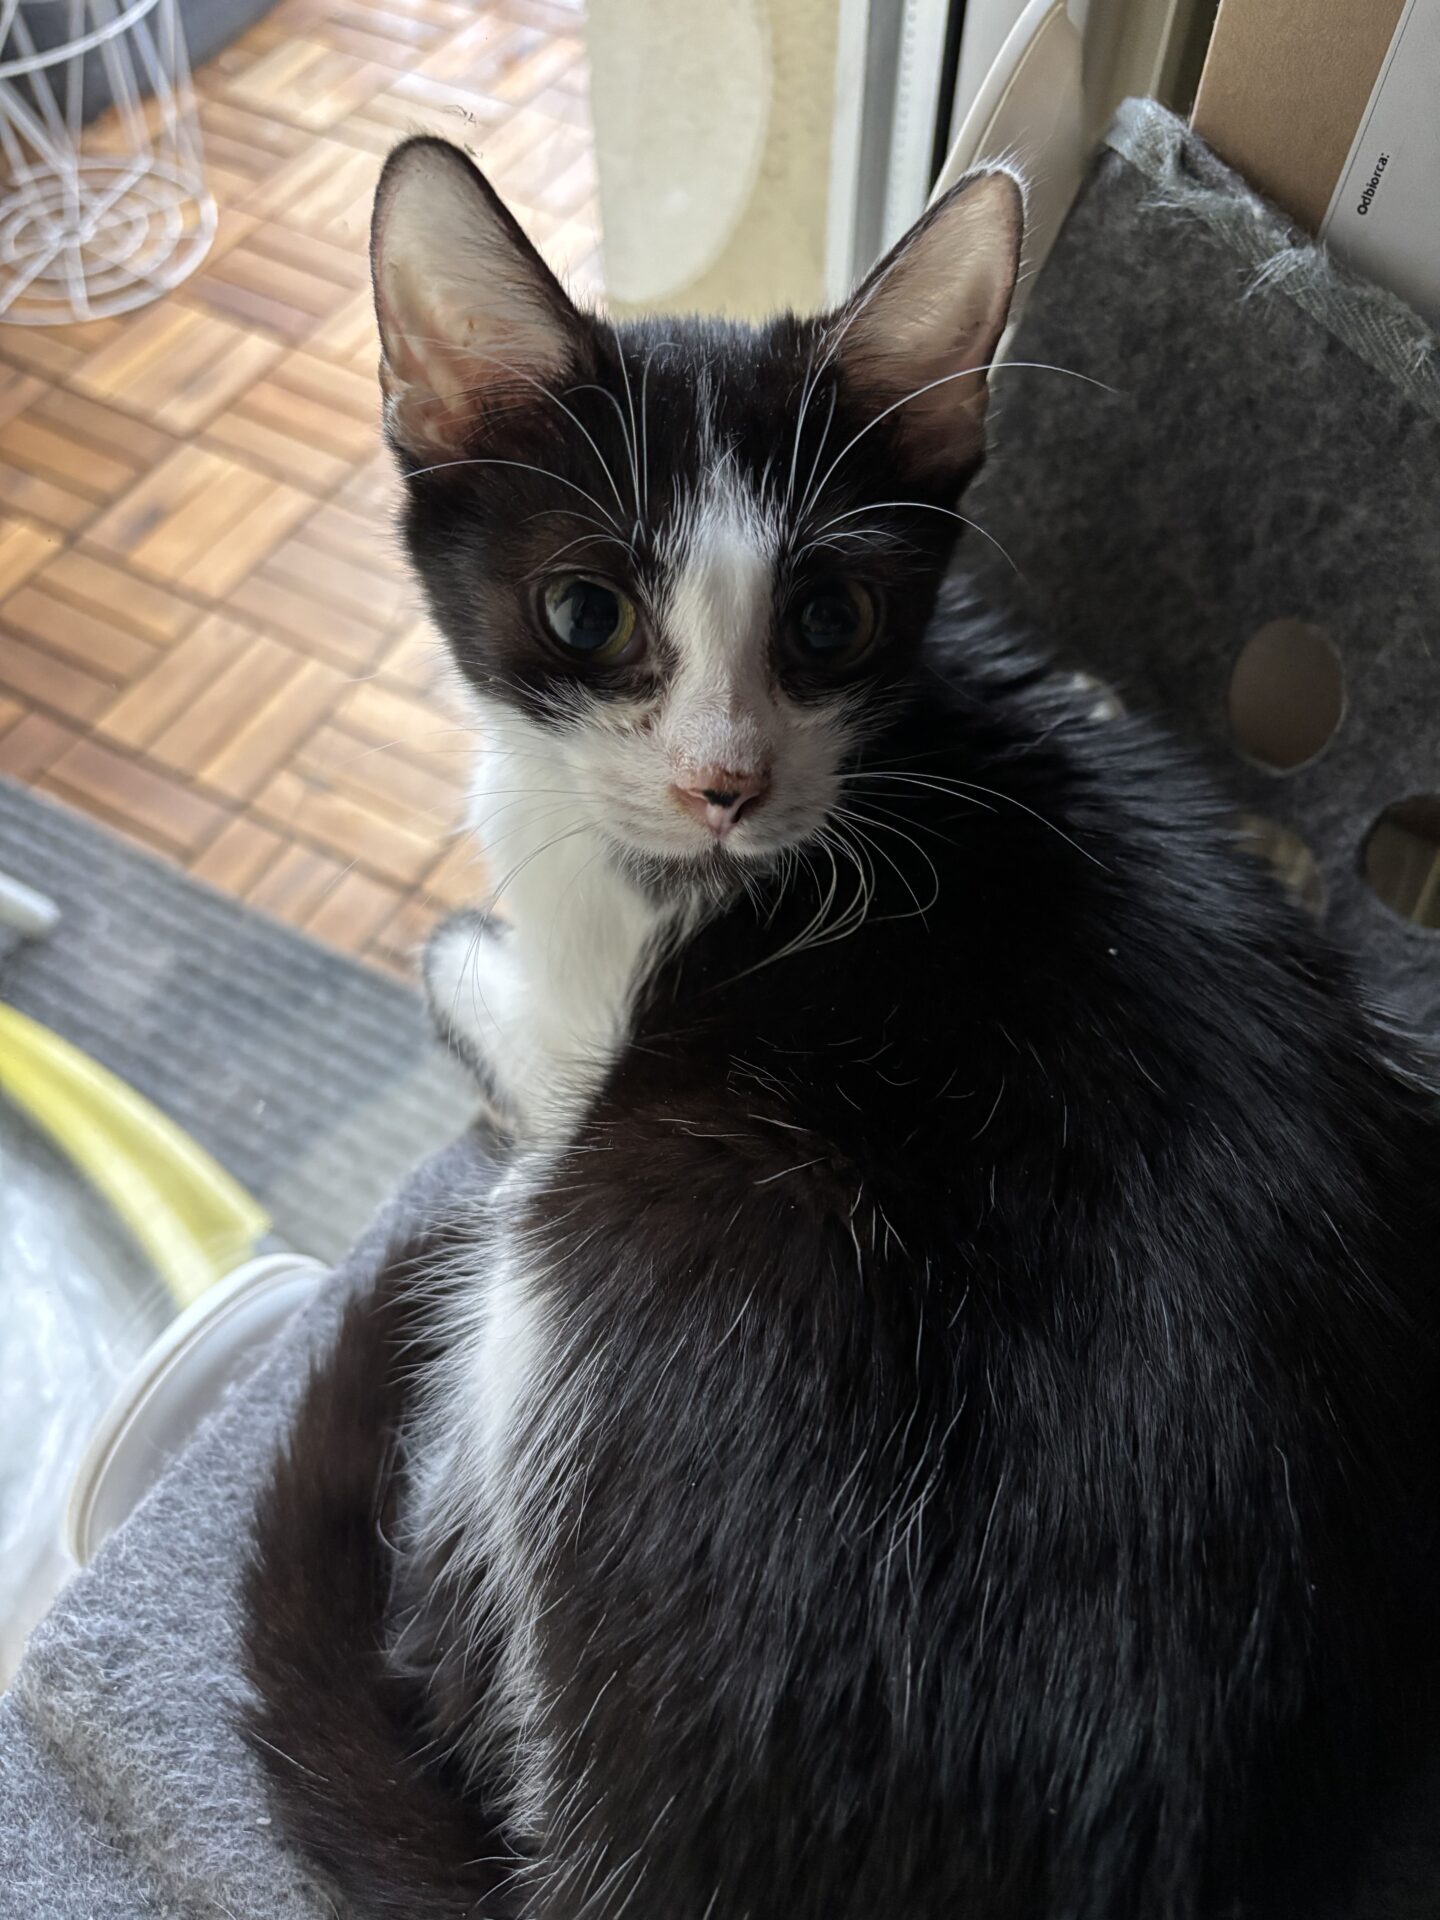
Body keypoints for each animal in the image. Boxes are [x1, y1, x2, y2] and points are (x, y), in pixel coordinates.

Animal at [243, 135, 1440, 1920]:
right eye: (587, 615)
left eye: (827, 623)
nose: (723, 786)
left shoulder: (599, 1022)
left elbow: (494, 992)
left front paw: (464, 950)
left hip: (614, 1238)